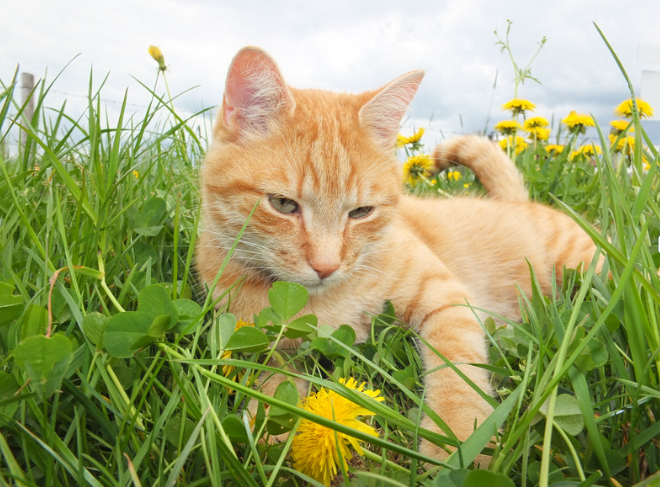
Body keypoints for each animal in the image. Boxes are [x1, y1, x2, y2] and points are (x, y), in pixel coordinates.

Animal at [196, 46, 604, 462]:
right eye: (282, 204)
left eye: (361, 212)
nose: (326, 266)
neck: (324, 300)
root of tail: (515, 202)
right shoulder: (270, 345)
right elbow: (275, 382)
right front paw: (267, 429)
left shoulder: (447, 299)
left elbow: (457, 369)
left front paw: (458, 439)